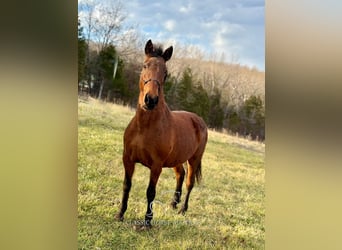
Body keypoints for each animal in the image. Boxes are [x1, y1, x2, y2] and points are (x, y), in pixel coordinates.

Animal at [115, 39, 208, 229]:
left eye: (165, 73)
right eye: (145, 66)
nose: (150, 100)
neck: (144, 127)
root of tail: (199, 120)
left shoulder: (156, 166)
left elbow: (151, 192)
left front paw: (147, 222)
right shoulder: (127, 159)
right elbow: (127, 185)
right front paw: (120, 214)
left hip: (194, 159)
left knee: (189, 183)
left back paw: (183, 209)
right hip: (177, 160)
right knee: (180, 175)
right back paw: (173, 203)